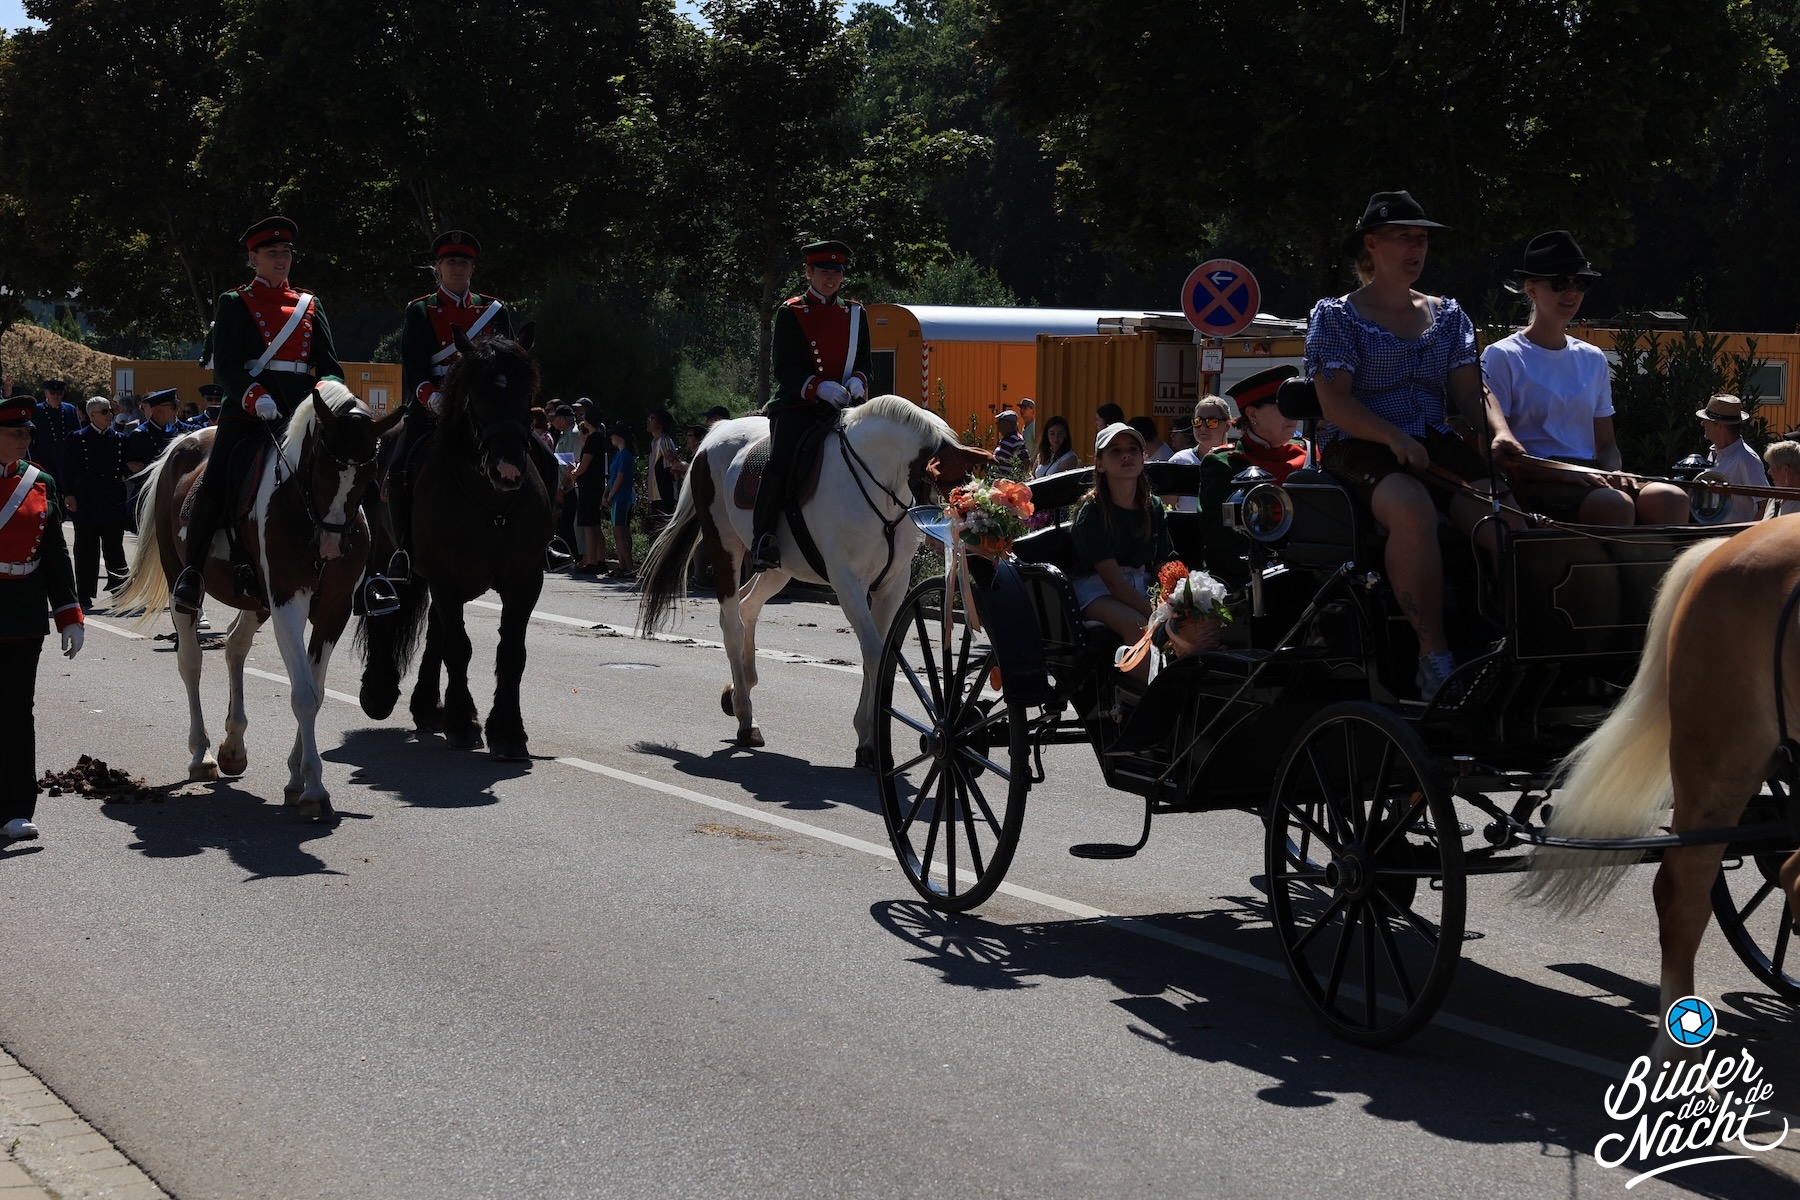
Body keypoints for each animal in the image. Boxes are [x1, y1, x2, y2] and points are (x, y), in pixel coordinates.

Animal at [114, 384, 399, 819]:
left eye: (369, 473)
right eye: (322, 466)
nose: (331, 545)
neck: (302, 506)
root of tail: (185, 439)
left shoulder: (333, 610)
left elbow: (315, 691)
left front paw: (297, 778)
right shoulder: (287, 603)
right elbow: (303, 694)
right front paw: (314, 787)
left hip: (256, 602)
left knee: (235, 646)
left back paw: (233, 747)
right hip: (185, 580)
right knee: (191, 661)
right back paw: (202, 754)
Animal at [356, 327, 554, 761]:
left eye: (528, 390)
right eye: (478, 392)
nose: (507, 468)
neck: (493, 508)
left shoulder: (524, 583)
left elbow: (510, 653)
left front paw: (508, 731)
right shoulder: (446, 579)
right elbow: (459, 648)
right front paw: (464, 723)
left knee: (435, 630)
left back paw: (427, 706)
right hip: (388, 552)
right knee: (382, 604)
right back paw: (379, 691)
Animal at [637, 395, 989, 765]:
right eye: (949, 489)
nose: (960, 537)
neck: (876, 482)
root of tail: (715, 434)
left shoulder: (892, 586)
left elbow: (878, 655)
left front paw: (867, 736)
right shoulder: (848, 584)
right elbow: (875, 654)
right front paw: (870, 741)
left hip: (777, 570)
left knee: (748, 608)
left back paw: (739, 688)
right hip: (725, 548)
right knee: (732, 623)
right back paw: (746, 718)